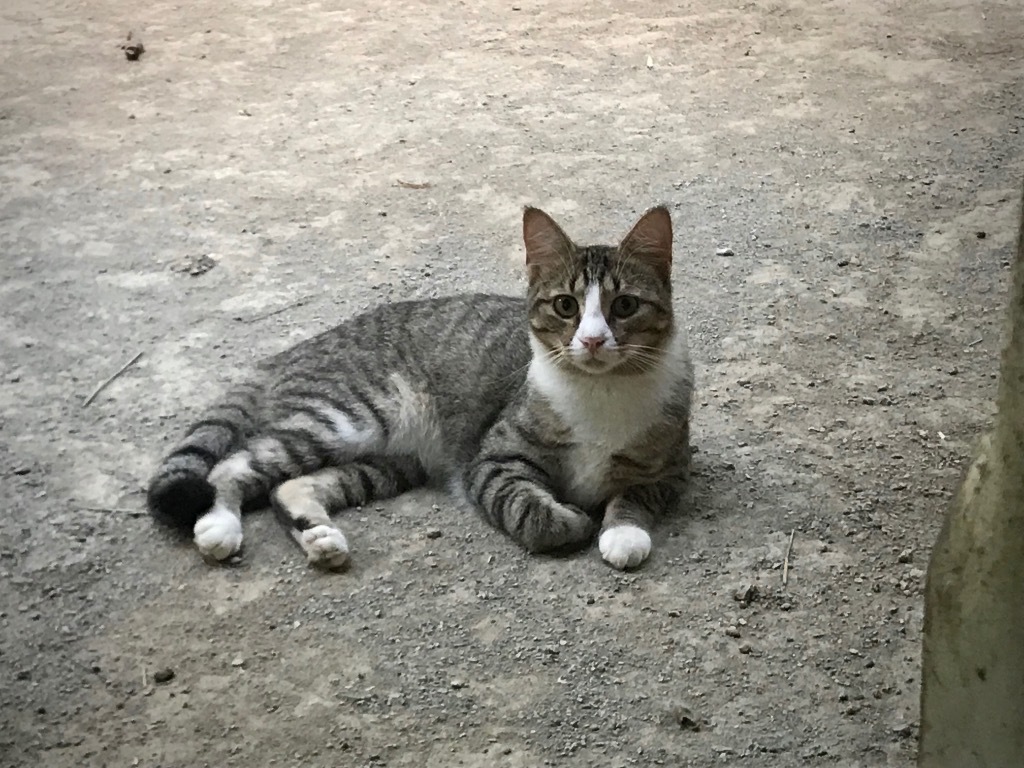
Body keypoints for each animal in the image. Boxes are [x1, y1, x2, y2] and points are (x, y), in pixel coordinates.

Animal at [148, 204, 696, 573]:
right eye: (566, 306)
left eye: (624, 306)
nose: (593, 339)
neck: (601, 393)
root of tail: (298, 346)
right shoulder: (491, 461)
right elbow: (531, 514)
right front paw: (572, 521)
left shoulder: (669, 470)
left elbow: (636, 495)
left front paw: (622, 532)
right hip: (349, 416)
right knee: (232, 465)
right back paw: (218, 525)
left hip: (386, 461)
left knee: (291, 484)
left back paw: (319, 536)